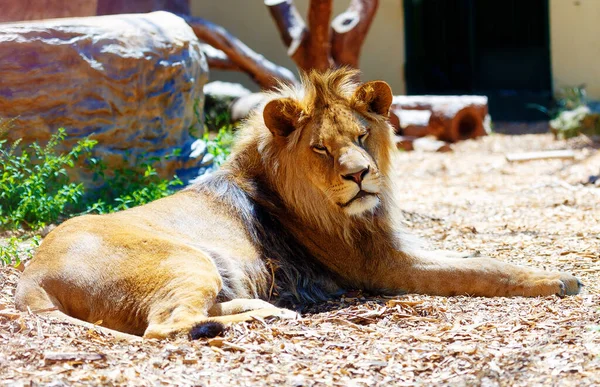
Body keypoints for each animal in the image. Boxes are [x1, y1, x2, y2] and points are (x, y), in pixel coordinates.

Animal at [15, 69, 580, 340]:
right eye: (321, 149)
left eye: (361, 135)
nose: (359, 174)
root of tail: (29, 279)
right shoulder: (382, 266)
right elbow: (481, 269)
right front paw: (558, 279)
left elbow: (471, 256)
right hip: (183, 258)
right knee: (167, 327)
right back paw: (246, 322)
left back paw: (272, 312)